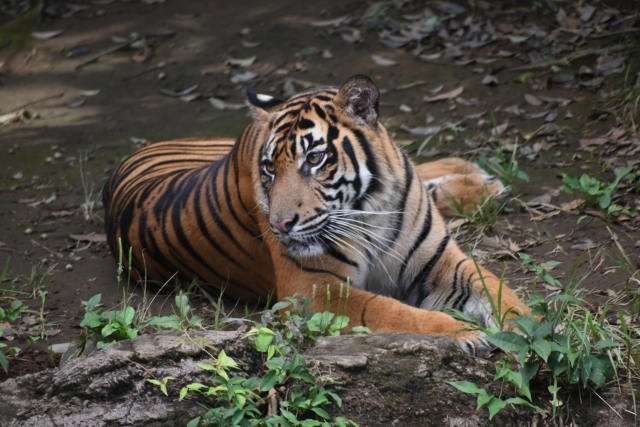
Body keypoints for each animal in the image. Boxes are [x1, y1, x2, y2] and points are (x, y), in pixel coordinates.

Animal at [104, 74, 524, 358]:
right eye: (269, 168)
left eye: (315, 158)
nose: (280, 224)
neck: (370, 210)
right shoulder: (314, 290)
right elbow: (393, 311)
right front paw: (462, 332)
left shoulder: (441, 260)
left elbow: (494, 285)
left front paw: (524, 324)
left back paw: (478, 177)